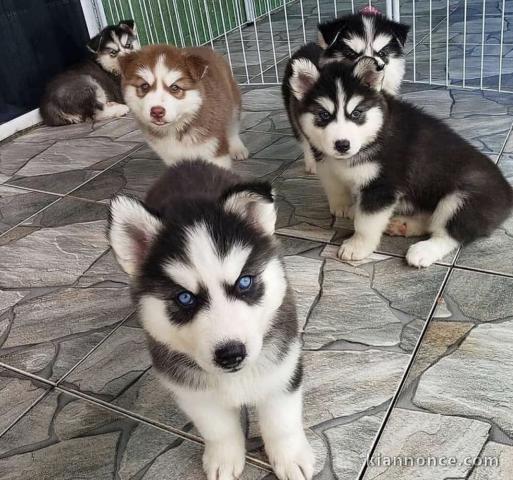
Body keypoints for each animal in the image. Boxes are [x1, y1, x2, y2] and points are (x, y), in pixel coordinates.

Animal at [120, 43, 248, 171]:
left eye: (175, 87)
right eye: (144, 86)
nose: (157, 112)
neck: (177, 127)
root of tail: (201, 47)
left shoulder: (214, 150)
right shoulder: (171, 157)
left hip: (234, 103)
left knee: (232, 127)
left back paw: (238, 149)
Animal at [282, 47, 510, 268]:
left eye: (356, 113)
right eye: (323, 115)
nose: (342, 145)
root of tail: (508, 191)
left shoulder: (382, 187)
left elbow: (366, 222)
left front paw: (358, 246)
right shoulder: (325, 162)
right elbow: (334, 186)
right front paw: (343, 206)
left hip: (463, 197)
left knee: (449, 232)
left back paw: (423, 251)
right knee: (431, 220)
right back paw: (403, 224)